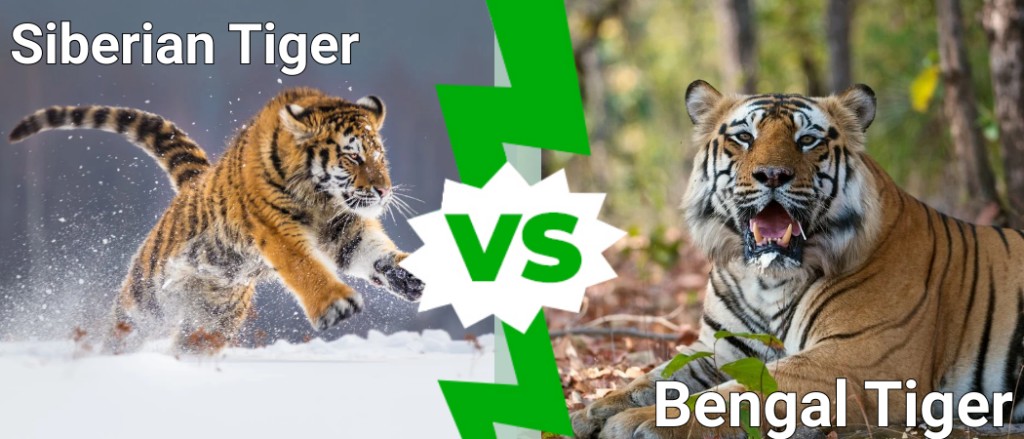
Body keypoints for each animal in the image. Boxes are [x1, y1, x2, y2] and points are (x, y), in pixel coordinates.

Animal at [7, 87, 424, 354]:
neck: (320, 196)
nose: (384, 190)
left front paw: (415, 275)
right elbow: (305, 266)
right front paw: (336, 305)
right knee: (121, 335)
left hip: (211, 321)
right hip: (145, 302)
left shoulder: (343, 226)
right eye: (353, 156)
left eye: (380, 156)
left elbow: (374, 253)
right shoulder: (276, 228)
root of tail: (194, 181)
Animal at [571, 80, 1024, 438]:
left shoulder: (858, 359)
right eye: (744, 137)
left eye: (807, 140)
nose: (772, 175)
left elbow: (742, 392)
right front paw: (590, 411)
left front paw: (638, 422)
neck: (767, 280)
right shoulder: (722, 348)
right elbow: (658, 376)